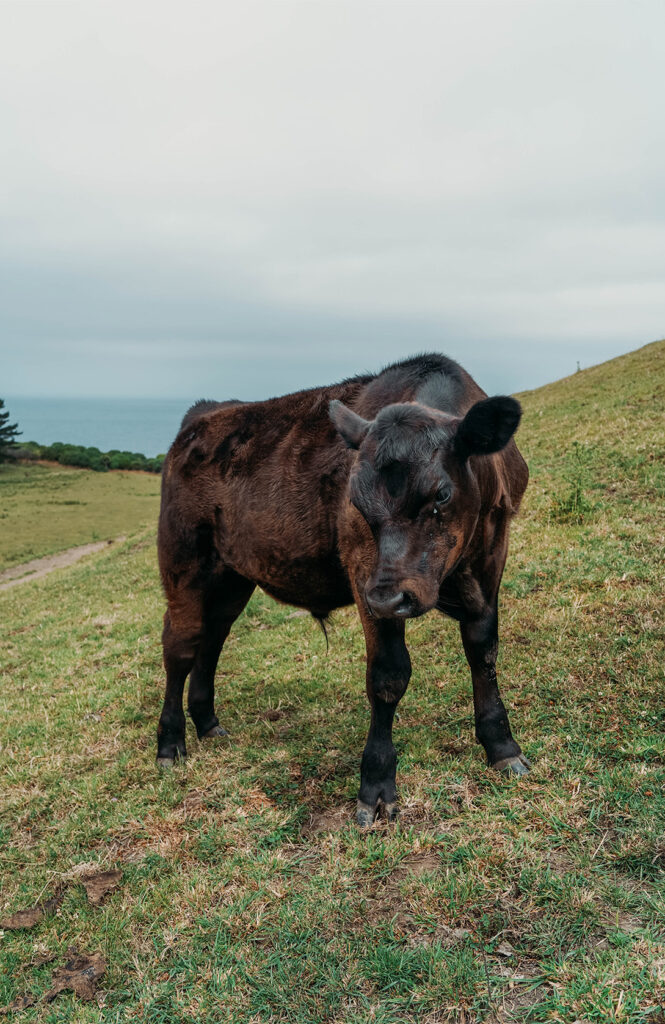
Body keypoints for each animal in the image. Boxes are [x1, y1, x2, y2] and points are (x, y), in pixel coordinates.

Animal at [156, 352, 528, 823]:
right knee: (181, 646)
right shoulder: (363, 569)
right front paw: (377, 785)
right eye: (356, 501)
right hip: (184, 561)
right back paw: (170, 744)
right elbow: (389, 675)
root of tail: (205, 413)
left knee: (213, 638)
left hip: (231, 576)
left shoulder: (491, 559)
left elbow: (484, 652)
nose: (388, 597)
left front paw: (502, 747)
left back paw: (208, 724)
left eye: (441, 494)